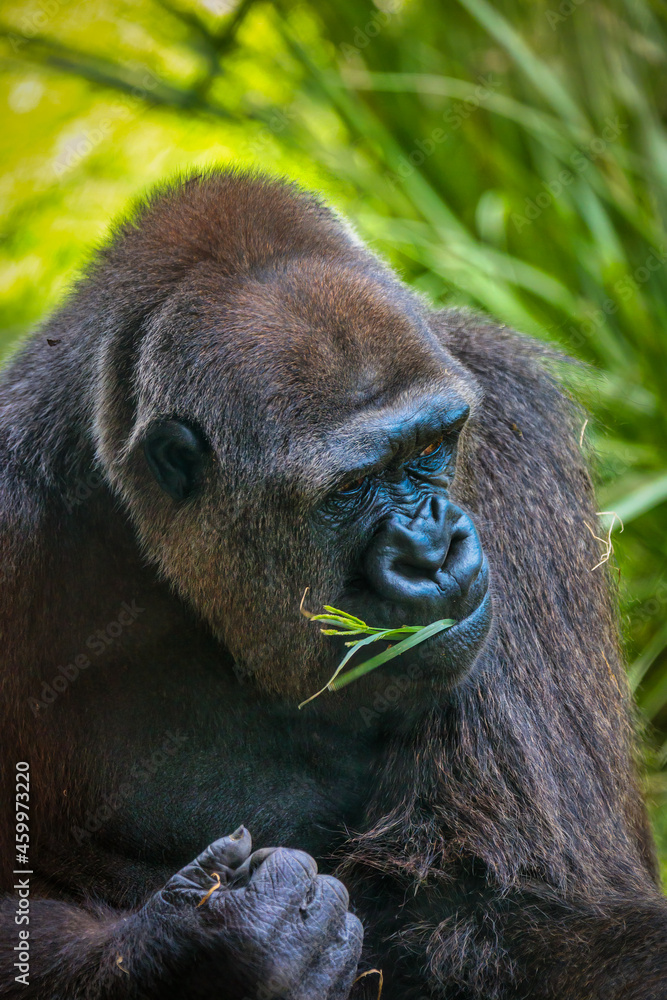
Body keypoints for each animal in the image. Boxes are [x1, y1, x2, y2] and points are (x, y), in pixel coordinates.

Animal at [1, 174, 667, 1000]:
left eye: (433, 447)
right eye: (349, 489)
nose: (433, 549)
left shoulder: (516, 431)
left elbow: (513, 915)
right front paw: (205, 949)